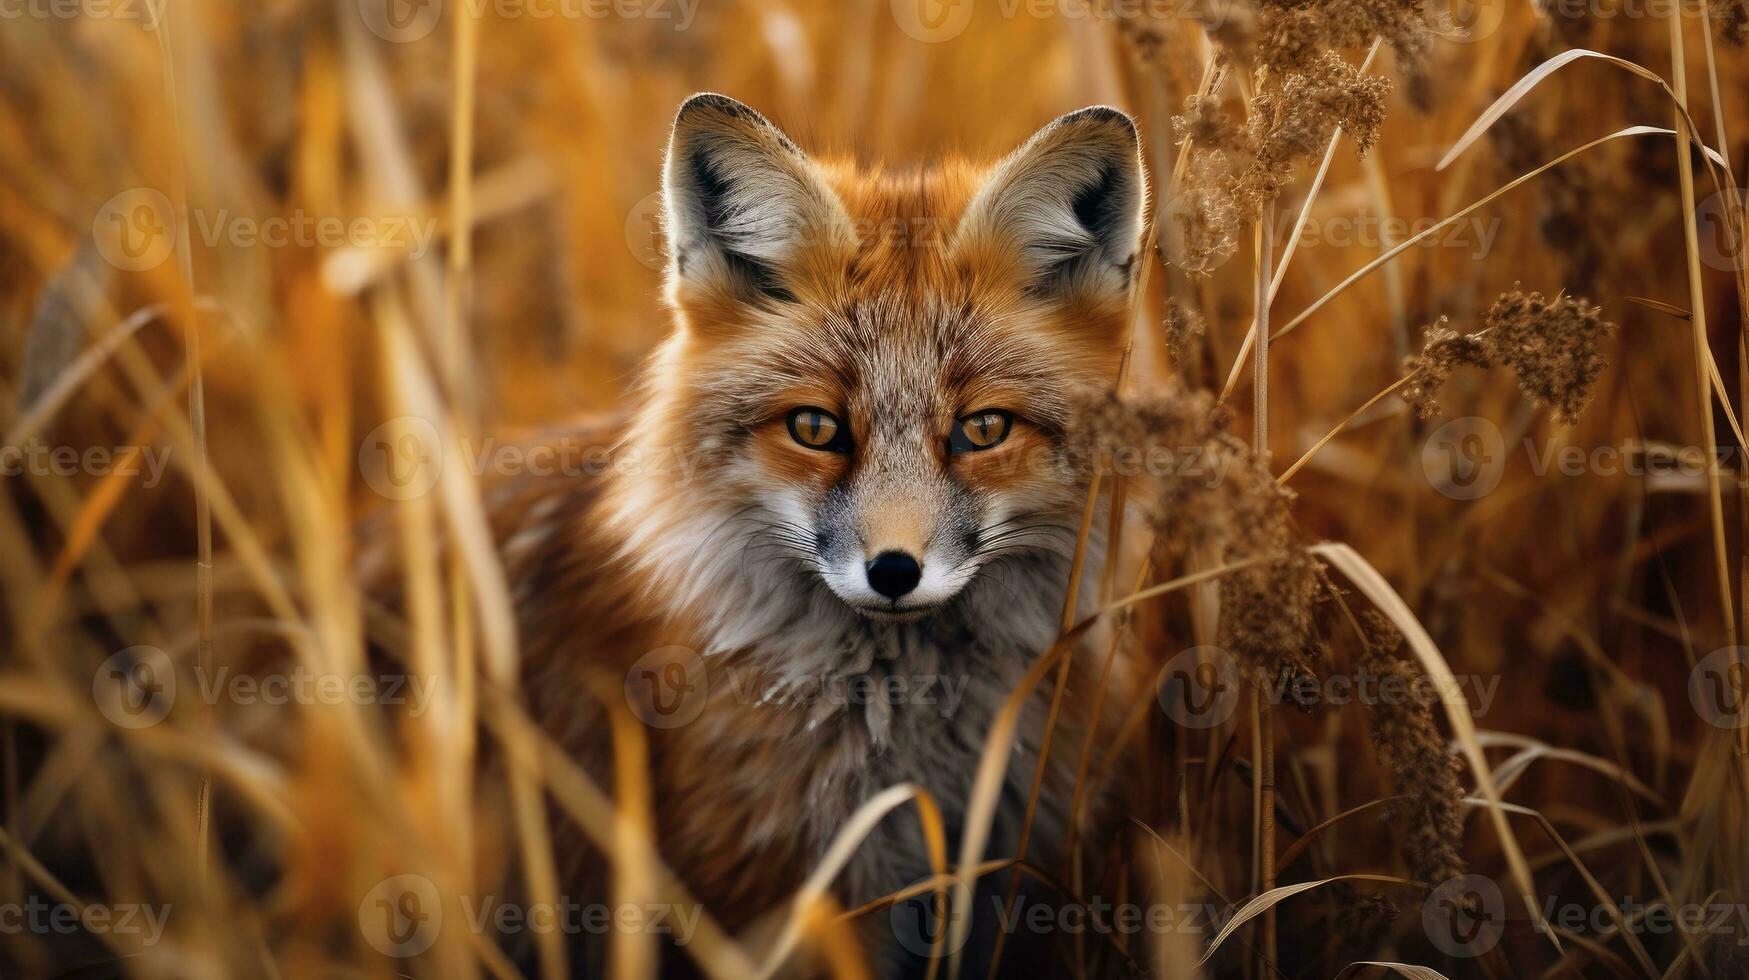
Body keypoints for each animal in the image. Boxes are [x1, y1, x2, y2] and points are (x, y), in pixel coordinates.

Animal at [440, 91, 1147, 973]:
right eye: (815, 427)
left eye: (982, 430)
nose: (893, 571)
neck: (909, 751)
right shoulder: (784, 901)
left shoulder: (1010, 868)